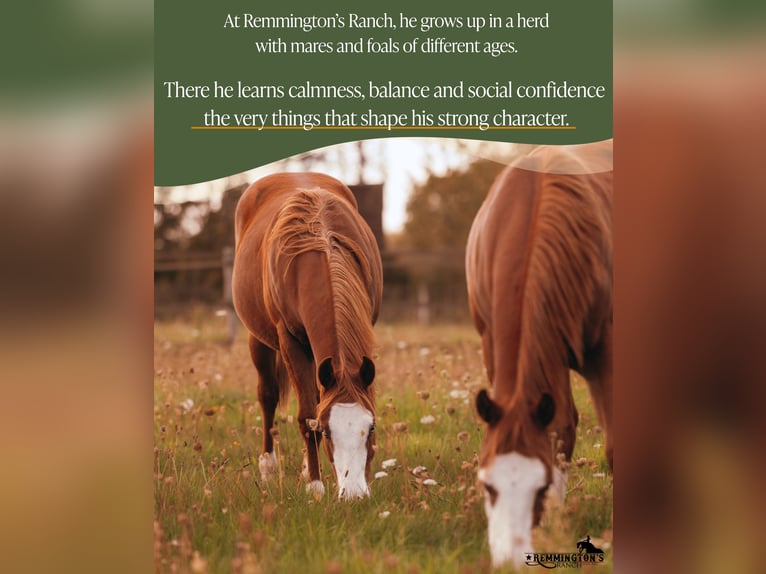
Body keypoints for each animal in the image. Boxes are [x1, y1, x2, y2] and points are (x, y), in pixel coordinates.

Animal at [232, 172, 383, 500]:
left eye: (371, 428)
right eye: (326, 431)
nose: (354, 494)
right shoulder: (290, 342)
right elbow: (306, 415)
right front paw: (315, 485)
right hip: (259, 341)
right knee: (268, 395)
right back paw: (268, 466)